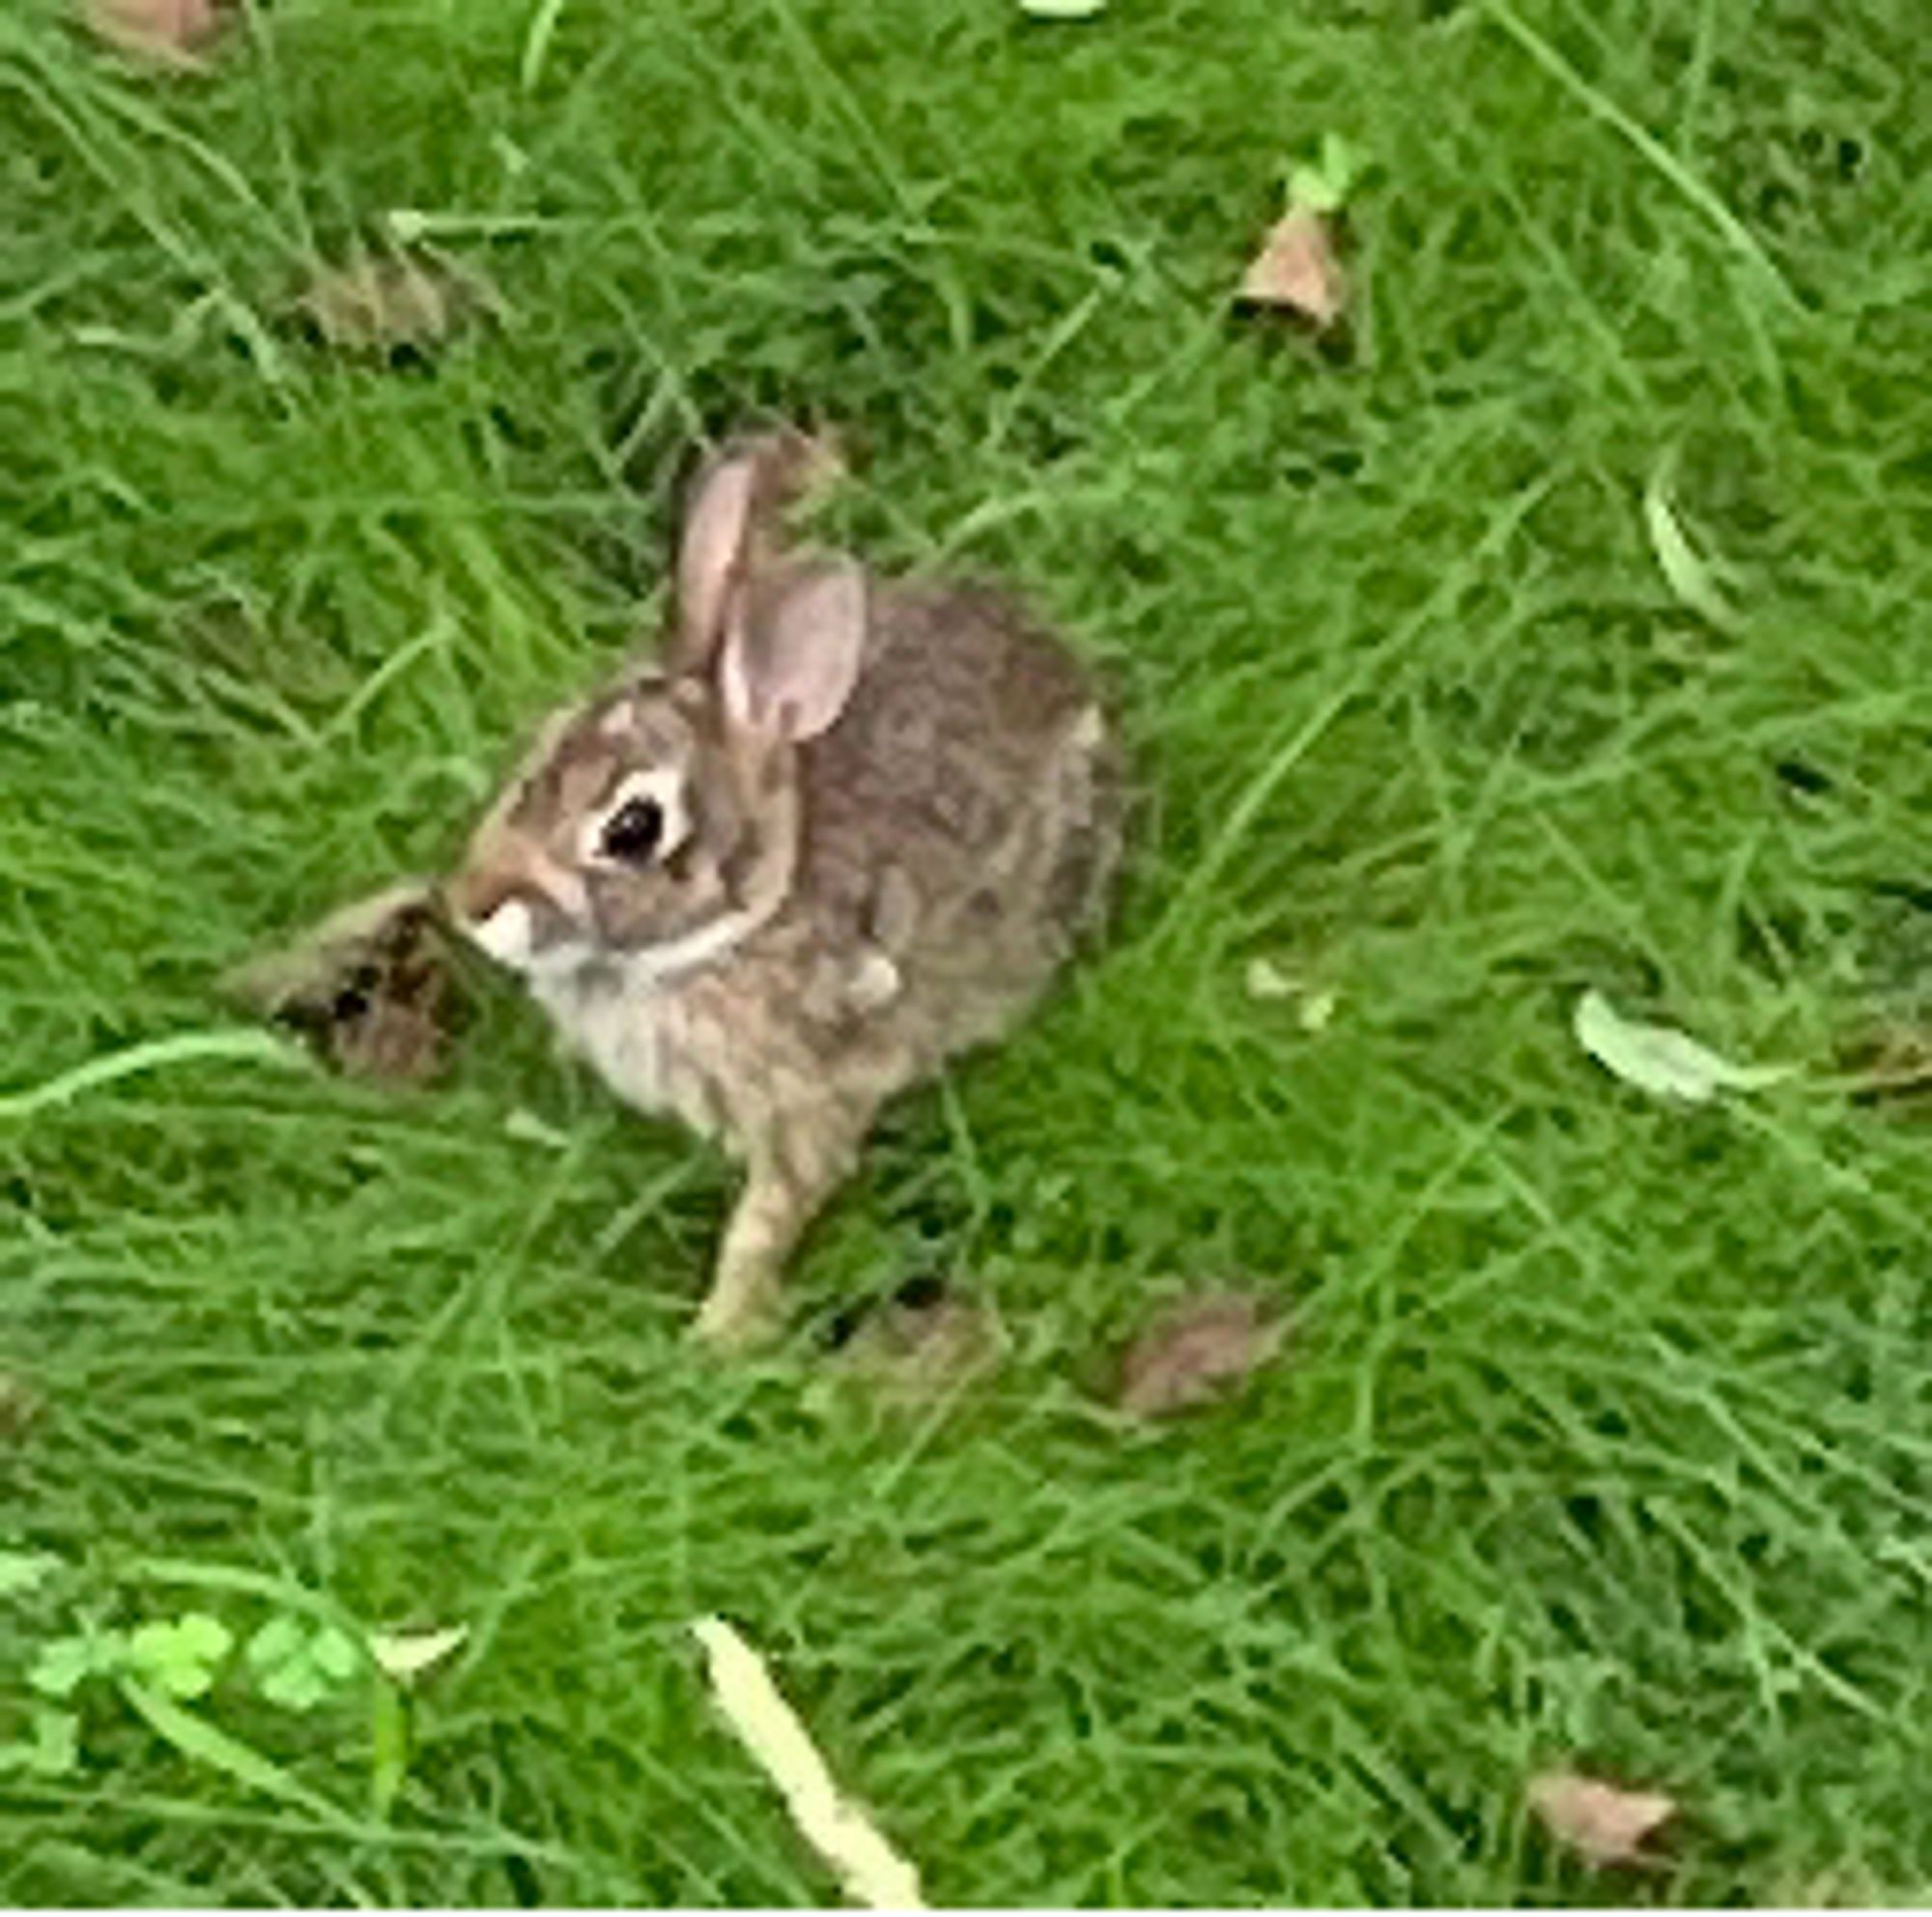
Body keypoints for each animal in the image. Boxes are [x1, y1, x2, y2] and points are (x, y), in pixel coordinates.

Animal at [444, 439, 1128, 1345]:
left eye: (632, 829)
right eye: (540, 749)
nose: (470, 903)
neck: (738, 922)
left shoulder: (807, 1103)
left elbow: (769, 1216)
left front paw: (717, 1336)